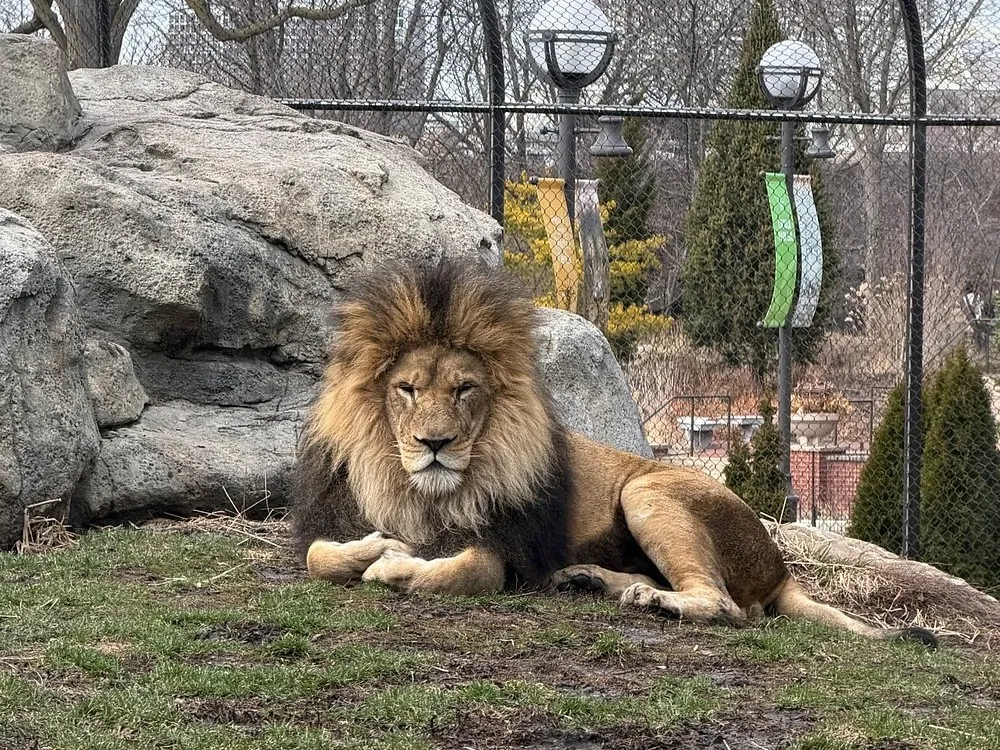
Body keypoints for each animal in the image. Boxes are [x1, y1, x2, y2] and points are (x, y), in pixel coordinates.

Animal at [291, 258, 936, 647]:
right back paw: (589, 580)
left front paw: (394, 564)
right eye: (406, 390)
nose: (434, 444)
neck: (424, 490)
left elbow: (460, 571)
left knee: (727, 605)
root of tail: (780, 567)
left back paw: (654, 600)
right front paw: (378, 545)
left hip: (648, 489)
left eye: (464, 389)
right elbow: (318, 556)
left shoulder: (508, 548)